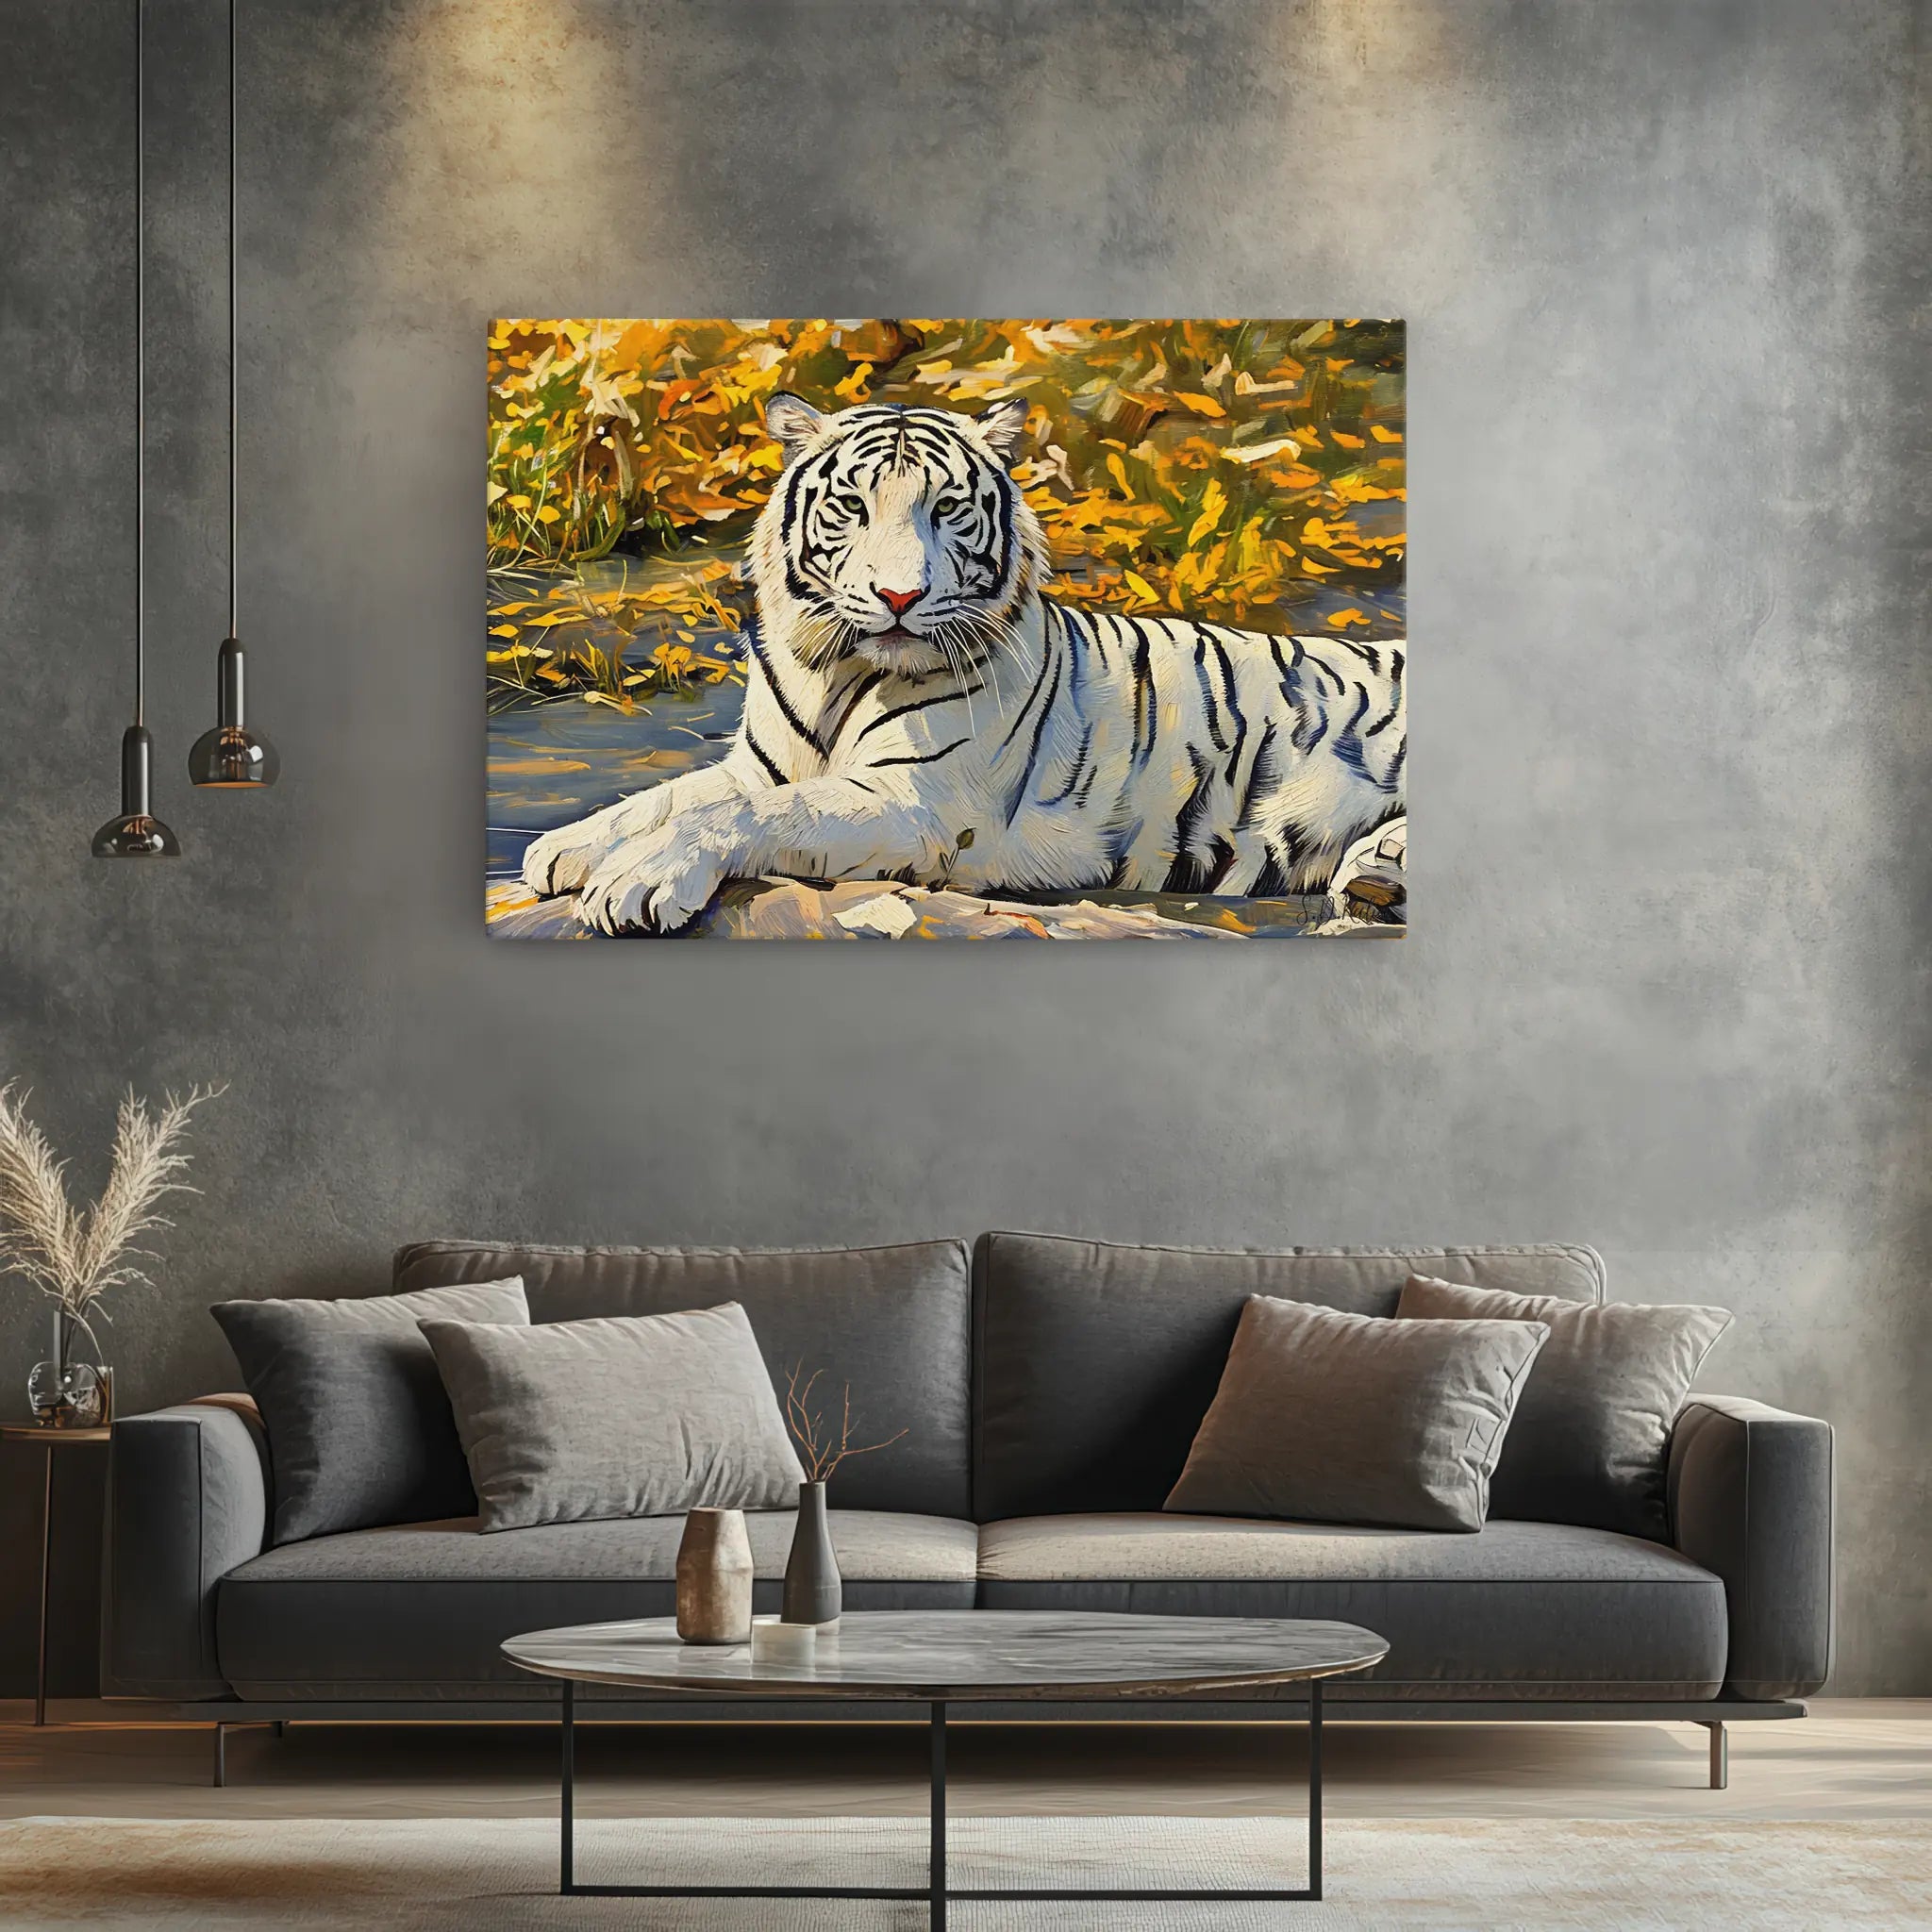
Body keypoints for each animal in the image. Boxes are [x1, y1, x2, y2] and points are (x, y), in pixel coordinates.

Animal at [520, 392, 1406, 935]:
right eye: (852, 507)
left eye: (946, 509)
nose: (899, 594)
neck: (835, 671)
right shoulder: (759, 765)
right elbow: (670, 797)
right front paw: (564, 847)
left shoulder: (914, 801)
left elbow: (749, 816)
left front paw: (636, 882)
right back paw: (1378, 877)